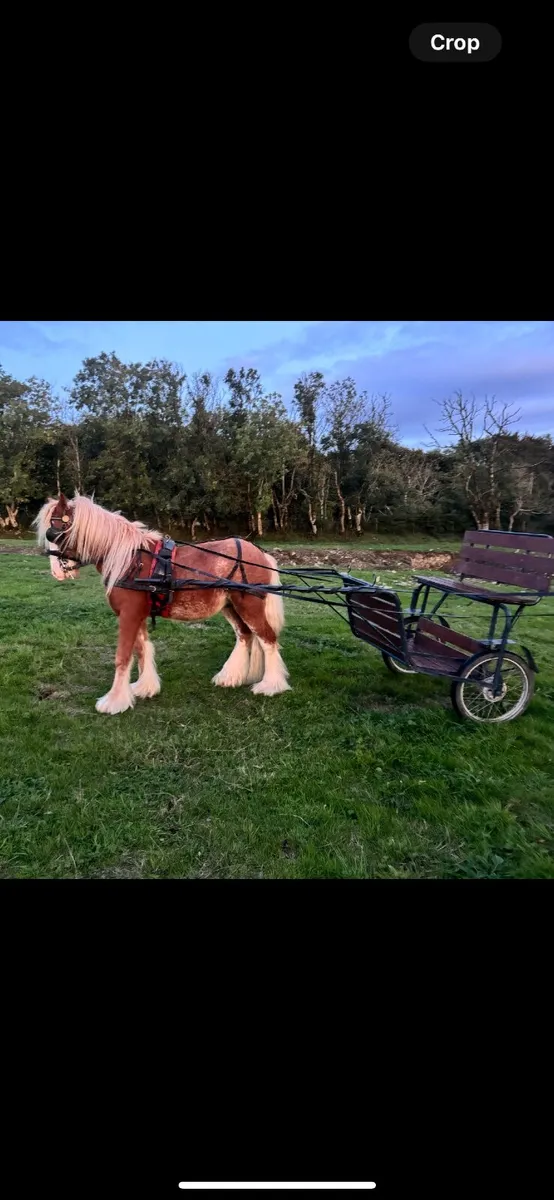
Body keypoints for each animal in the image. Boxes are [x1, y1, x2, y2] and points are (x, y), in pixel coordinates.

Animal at [33, 493, 290, 715]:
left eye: (55, 532)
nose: (57, 572)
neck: (130, 559)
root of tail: (259, 553)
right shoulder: (137, 615)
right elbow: (142, 649)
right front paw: (144, 688)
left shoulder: (128, 615)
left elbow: (123, 656)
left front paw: (114, 701)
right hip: (231, 606)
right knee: (245, 635)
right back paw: (231, 676)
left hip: (249, 605)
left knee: (267, 639)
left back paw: (271, 685)